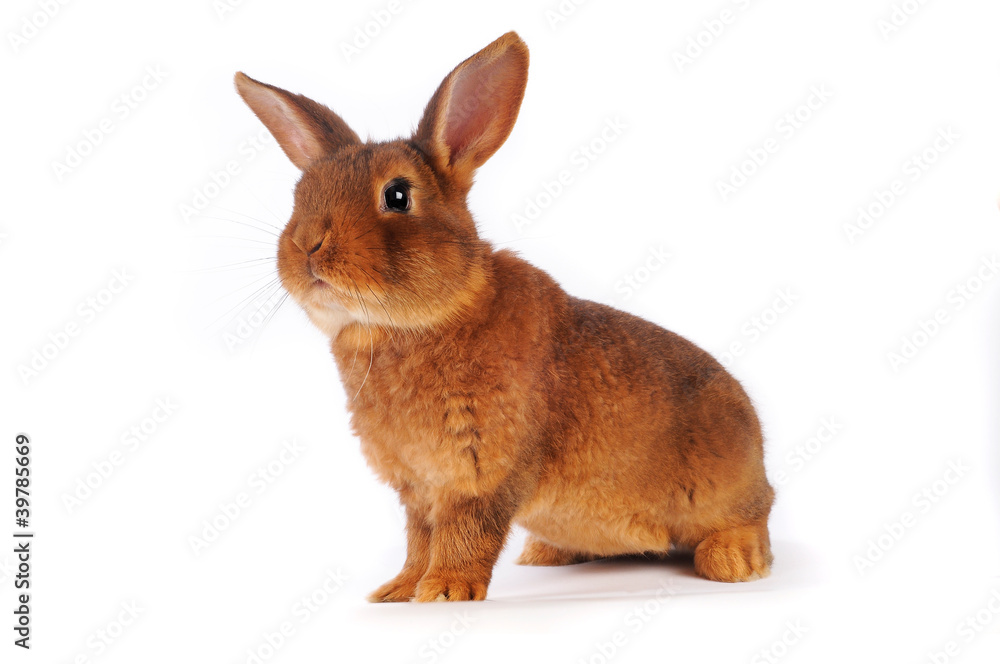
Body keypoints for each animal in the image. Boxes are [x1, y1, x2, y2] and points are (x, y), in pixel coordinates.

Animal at [234, 31, 774, 602]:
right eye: (299, 196)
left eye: (397, 195)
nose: (305, 245)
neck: (416, 325)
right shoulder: (419, 489)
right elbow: (420, 540)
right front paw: (398, 591)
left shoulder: (482, 471)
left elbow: (465, 534)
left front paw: (445, 591)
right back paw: (545, 554)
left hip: (724, 491)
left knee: (753, 519)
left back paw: (733, 561)